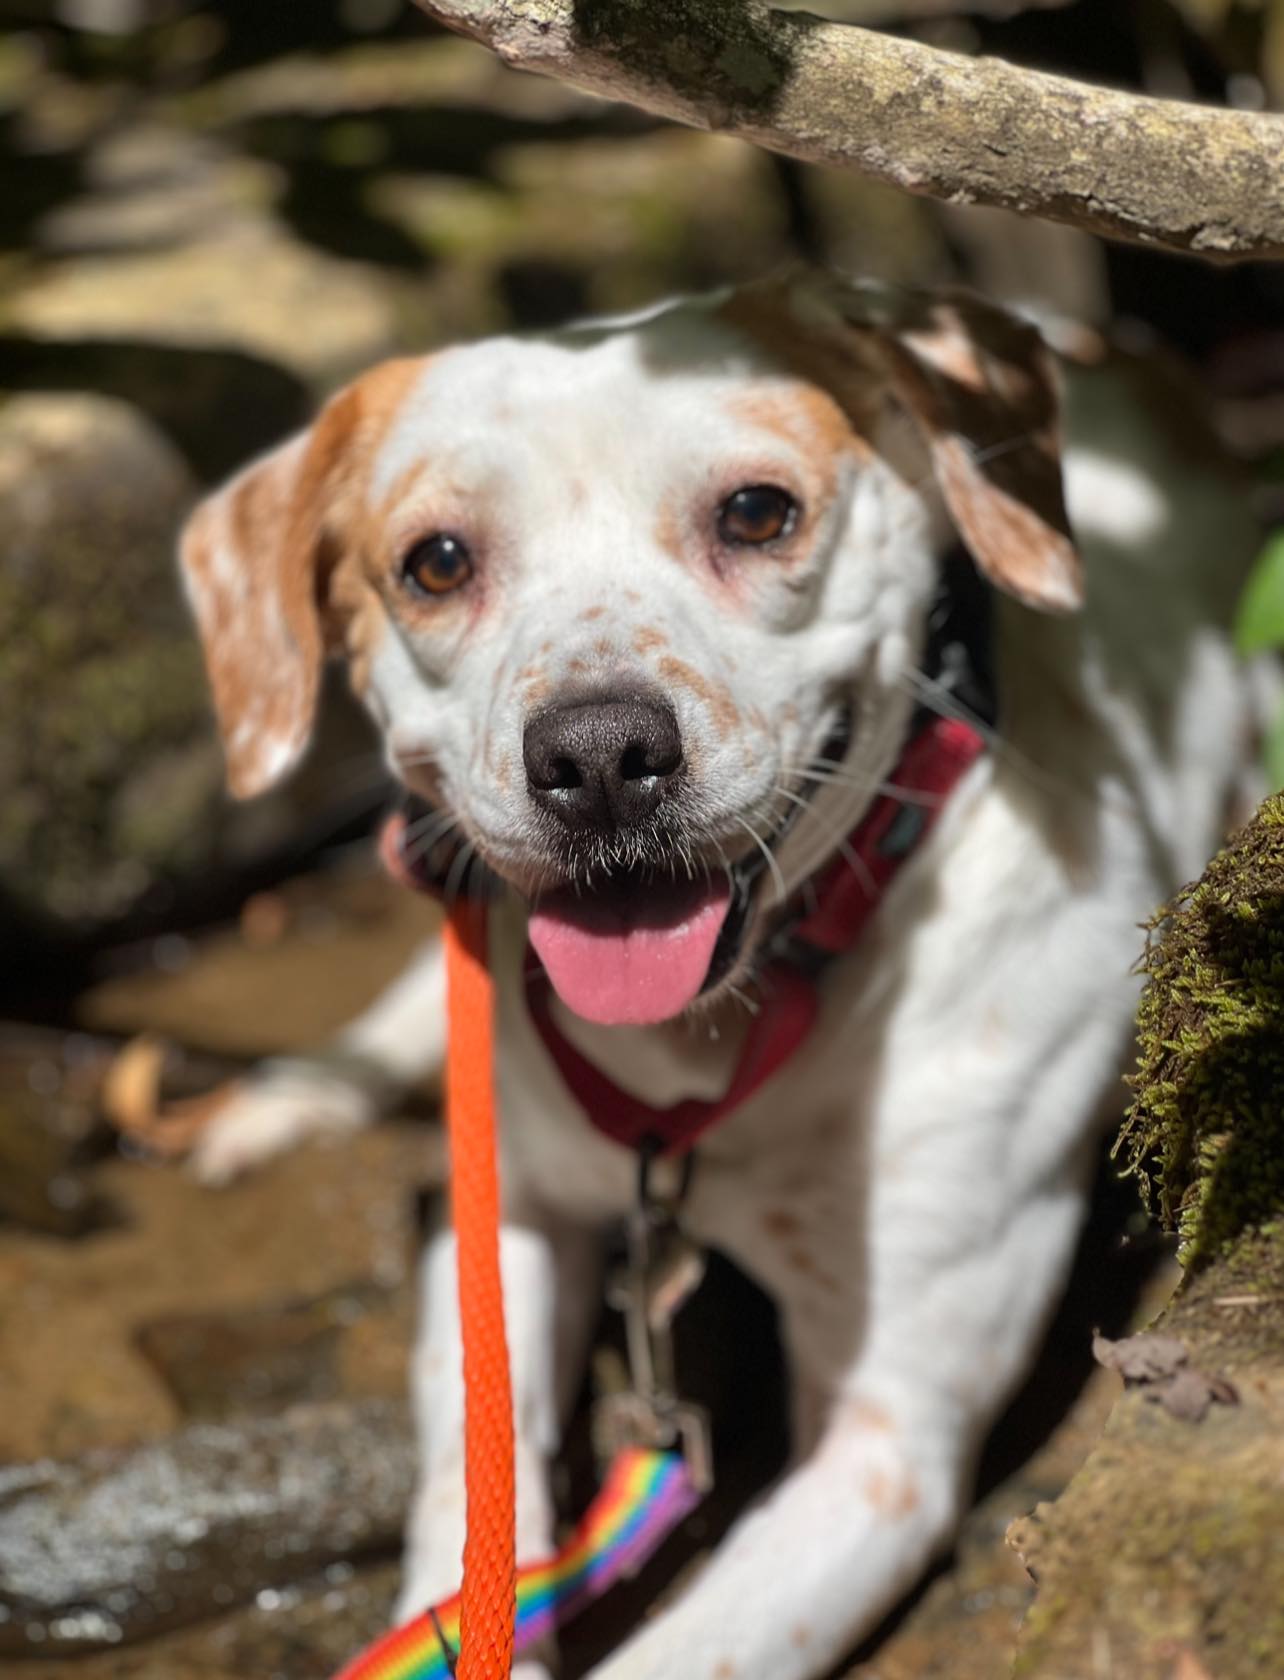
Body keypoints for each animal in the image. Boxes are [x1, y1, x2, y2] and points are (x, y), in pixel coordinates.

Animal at [175, 272, 1257, 1680]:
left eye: (757, 512)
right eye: (437, 562)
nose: (596, 756)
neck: (710, 1046)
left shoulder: (888, 1440)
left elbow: (692, 1651)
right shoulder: (504, 1231)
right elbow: (475, 1502)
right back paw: (288, 1096)